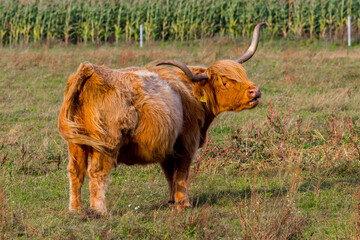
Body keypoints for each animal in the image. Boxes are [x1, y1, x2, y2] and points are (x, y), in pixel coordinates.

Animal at [58, 23, 264, 214]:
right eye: (225, 82)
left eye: (243, 75)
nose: (255, 91)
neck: (190, 92)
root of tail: (90, 71)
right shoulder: (187, 144)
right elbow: (181, 174)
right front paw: (183, 203)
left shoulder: (168, 148)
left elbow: (170, 175)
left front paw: (172, 200)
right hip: (106, 145)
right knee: (97, 172)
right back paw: (99, 210)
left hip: (76, 144)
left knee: (76, 172)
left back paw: (76, 209)